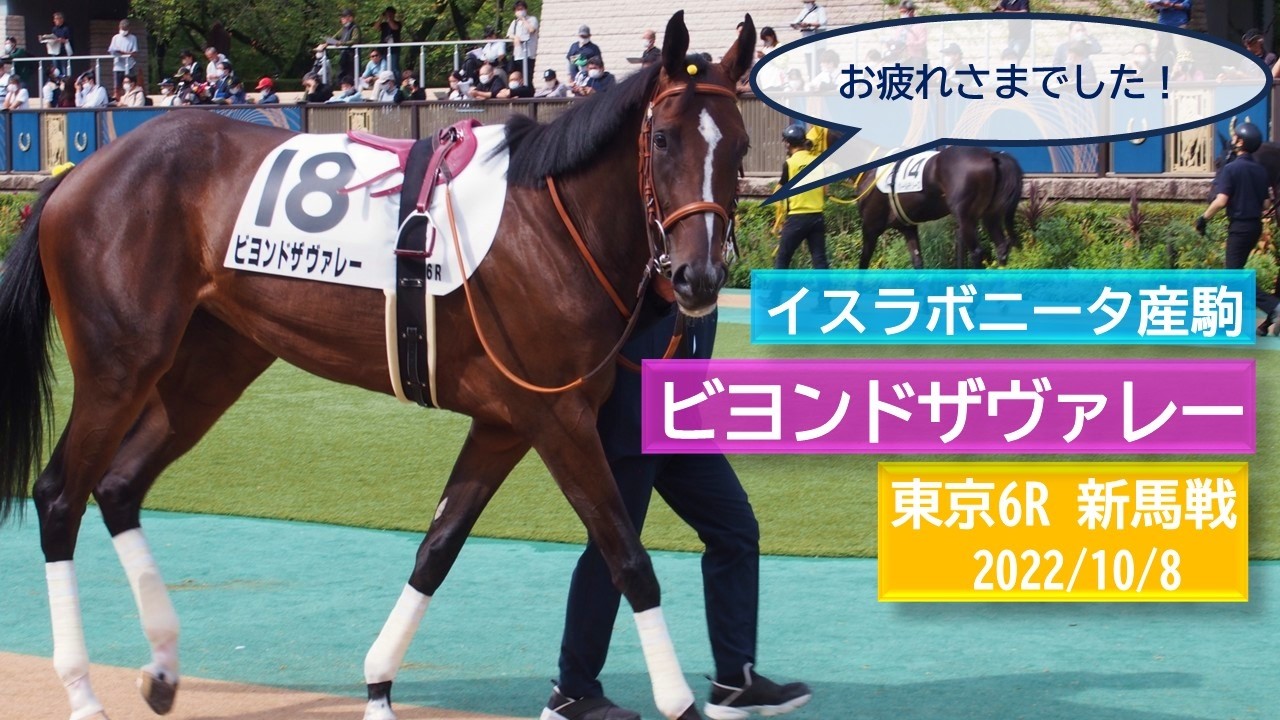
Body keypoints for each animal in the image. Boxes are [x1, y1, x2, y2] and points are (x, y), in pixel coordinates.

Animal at [0, 12, 754, 720]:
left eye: (741, 145)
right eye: (664, 140)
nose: (698, 278)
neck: (551, 222)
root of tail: (76, 176)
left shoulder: (505, 422)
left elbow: (438, 547)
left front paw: (379, 682)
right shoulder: (558, 417)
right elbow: (626, 555)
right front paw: (680, 701)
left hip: (210, 366)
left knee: (120, 485)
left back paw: (160, 667)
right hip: (119, 366)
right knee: (61, 494)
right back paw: (82, 692)